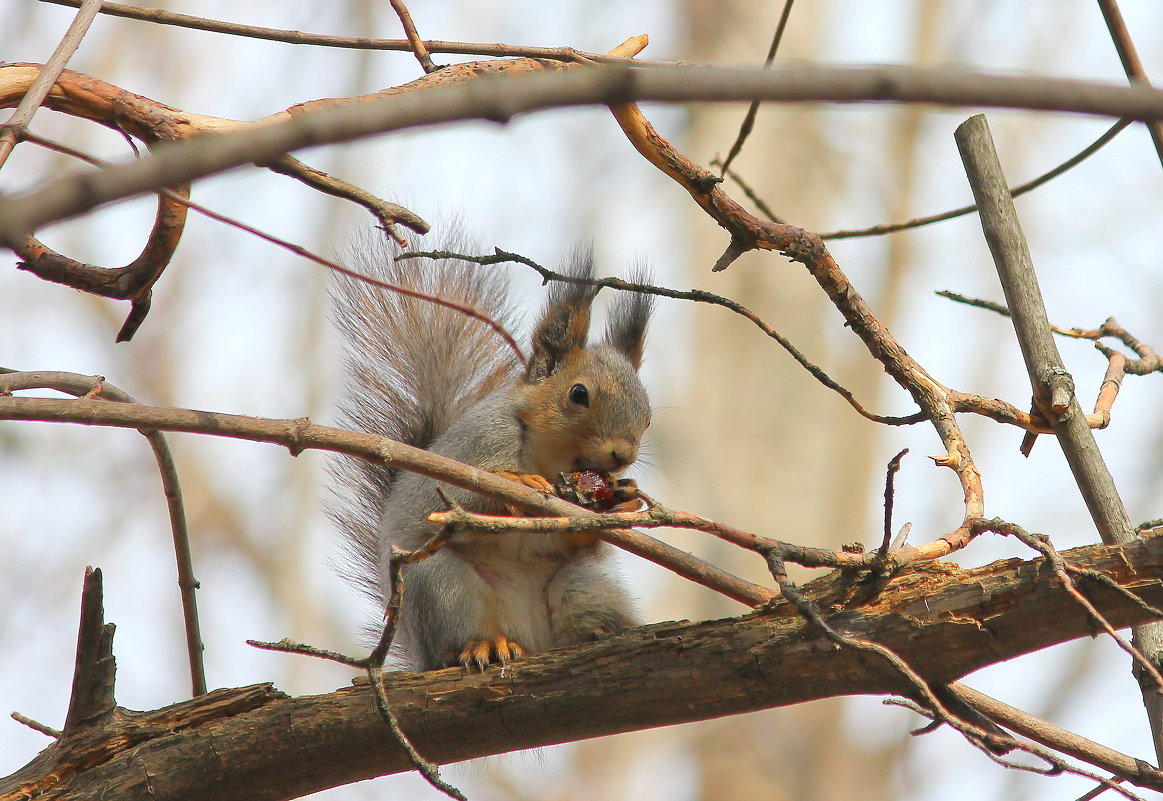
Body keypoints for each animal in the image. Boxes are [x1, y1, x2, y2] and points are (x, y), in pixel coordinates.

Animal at [330, 231, 655, 669]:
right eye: (578, 394)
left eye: (648, 417)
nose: (623, 456)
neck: (550, 459)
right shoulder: (476, 445)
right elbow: (459, 498)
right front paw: (521, 483)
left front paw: (620, 502)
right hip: (442, 587)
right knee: (459, 633)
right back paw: (483, 645)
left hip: (583, 584)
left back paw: (606, 632)